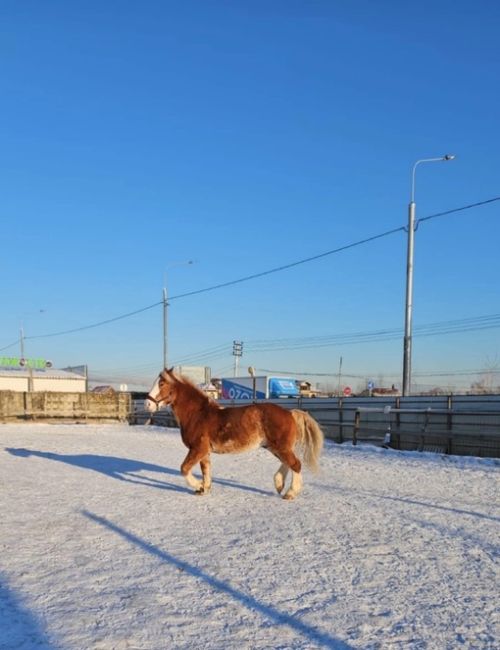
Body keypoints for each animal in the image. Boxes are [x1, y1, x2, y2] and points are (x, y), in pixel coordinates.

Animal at [145, 368, 324, 498]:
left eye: (162, 383)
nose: (147, 404)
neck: (198, 414)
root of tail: (290, 413)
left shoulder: (197, 449)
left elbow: (184, 469)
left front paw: (198, 486)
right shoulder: (204, 452)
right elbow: (206, 471)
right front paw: (204, 489)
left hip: (280, 447)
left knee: (296, 464)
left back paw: (290, 493)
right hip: (274, 447)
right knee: (289, 464)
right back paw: (279, 484)